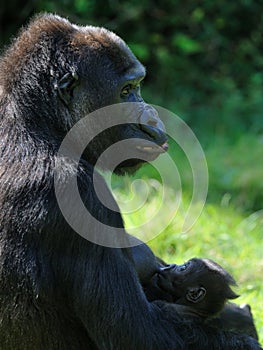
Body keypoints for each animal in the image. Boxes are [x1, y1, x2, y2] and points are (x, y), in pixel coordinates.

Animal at [0, 13, 262, 350]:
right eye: (126, 92)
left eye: (137, 86)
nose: (153, 118)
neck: (37, 122)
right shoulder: (79, 190)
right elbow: (137, 333)